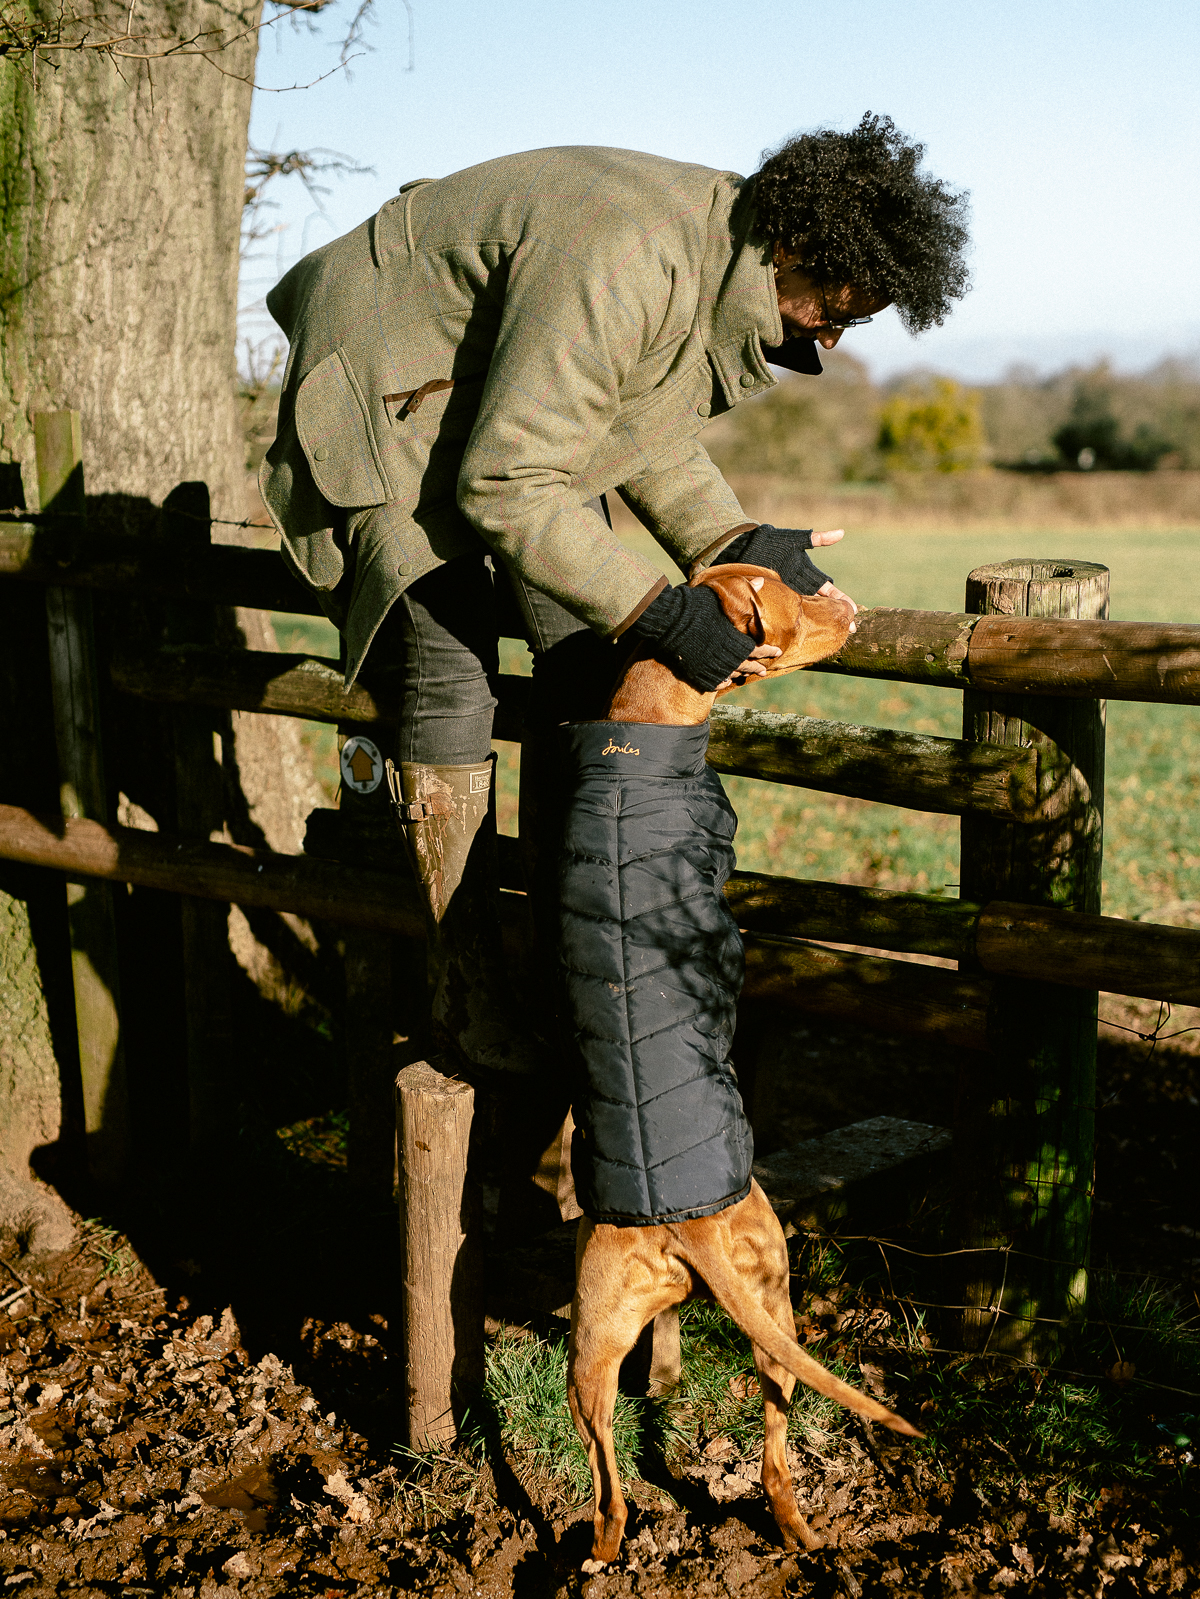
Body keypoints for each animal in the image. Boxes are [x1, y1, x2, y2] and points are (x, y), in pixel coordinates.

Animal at [569, 562, 928, 1560]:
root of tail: (683, 1224)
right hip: (776, 1292)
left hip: (598, 1342)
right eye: (790, 601)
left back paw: (613, 1547)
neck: (643, 716)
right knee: (771, 1444)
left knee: (612, 1471)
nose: (847, 603)